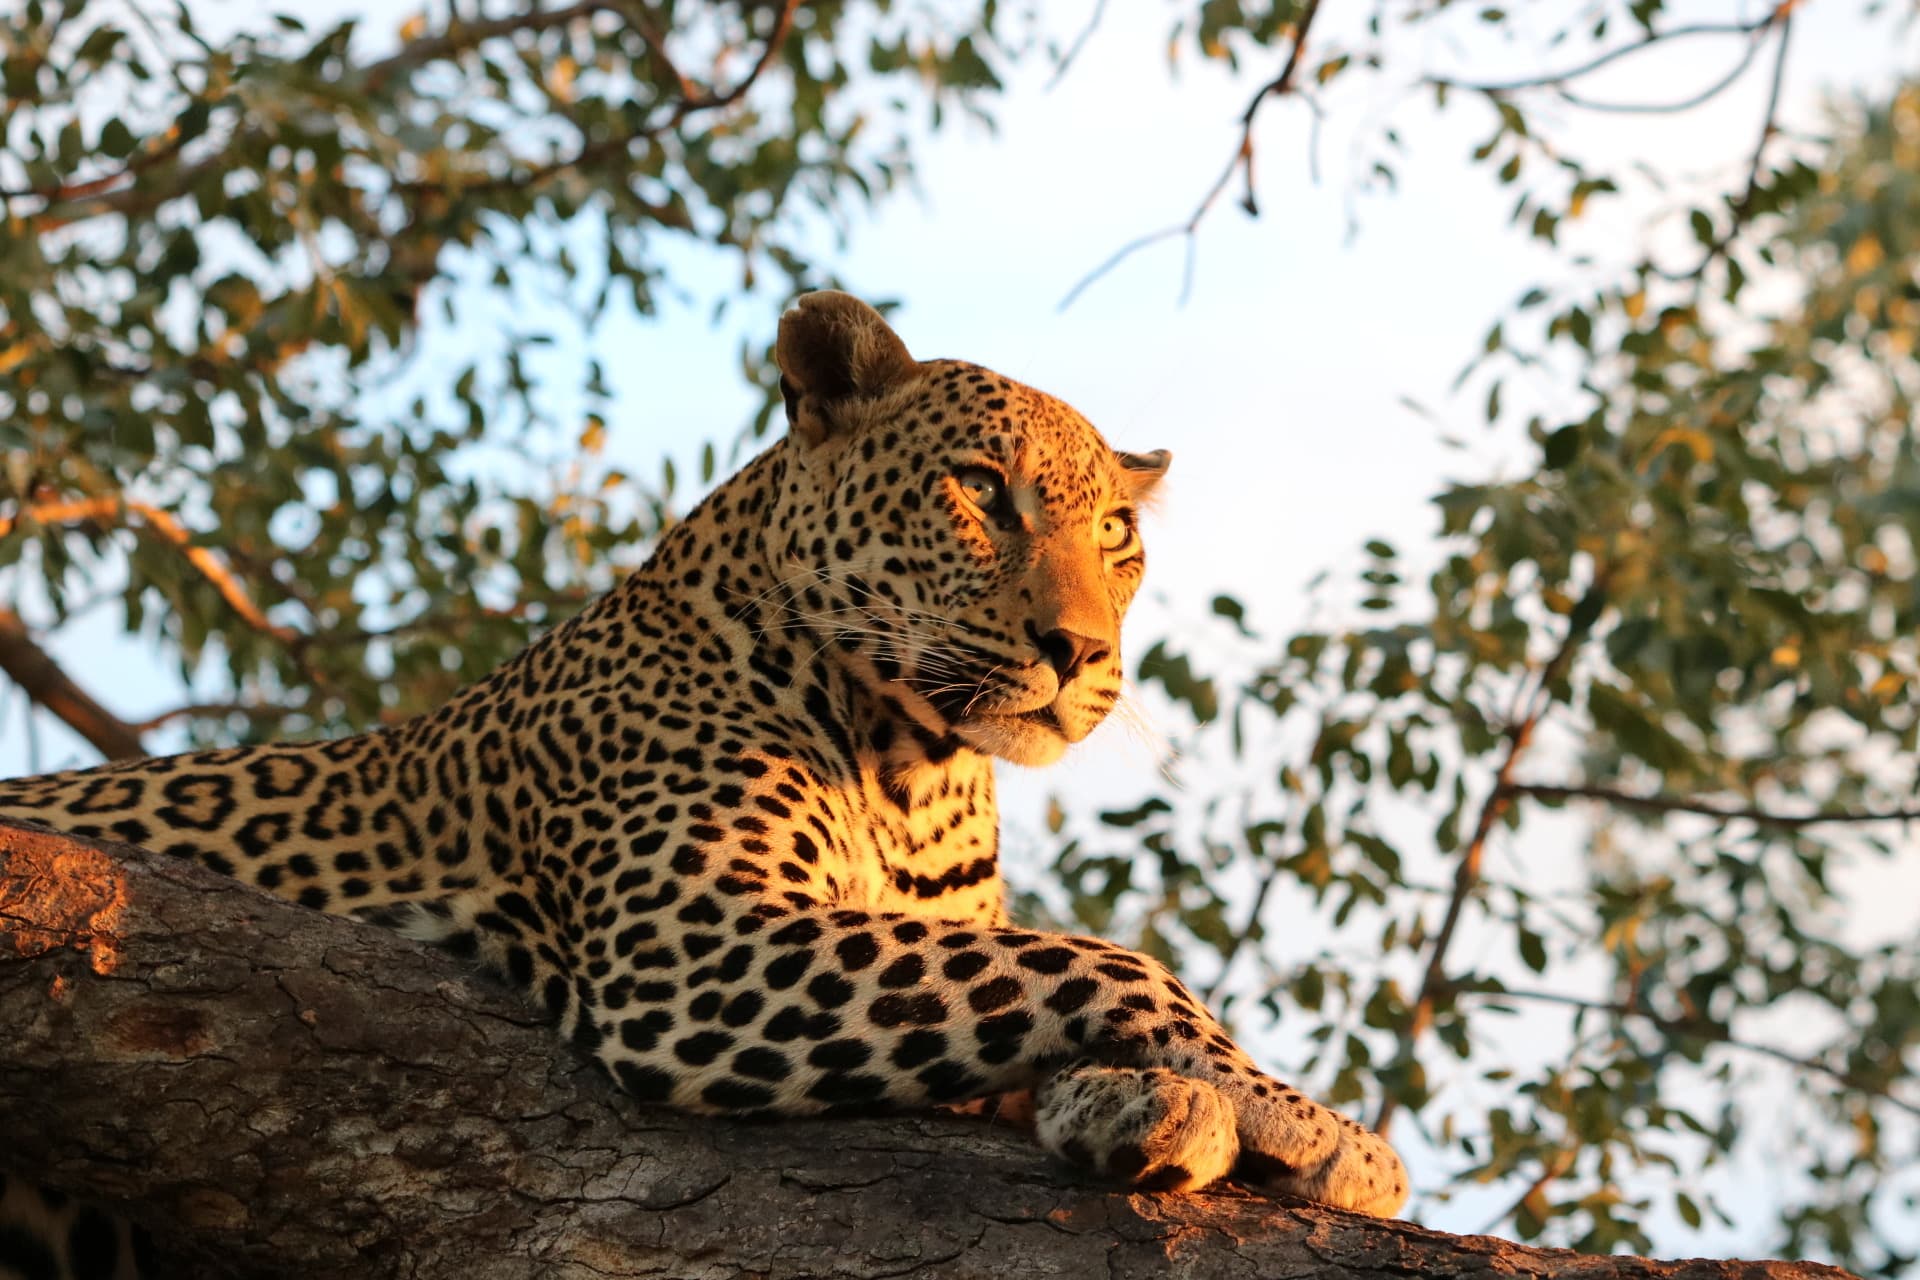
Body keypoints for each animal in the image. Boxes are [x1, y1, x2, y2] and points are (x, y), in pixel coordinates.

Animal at [0, 292, 1407, 1271]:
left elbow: (1028, 998)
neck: (922, 769)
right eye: (979, 491)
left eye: (1117, 536)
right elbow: (1099, 957)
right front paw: (1304, 1118)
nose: (1083, 652)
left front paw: (1140, 1102)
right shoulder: (693, 943)